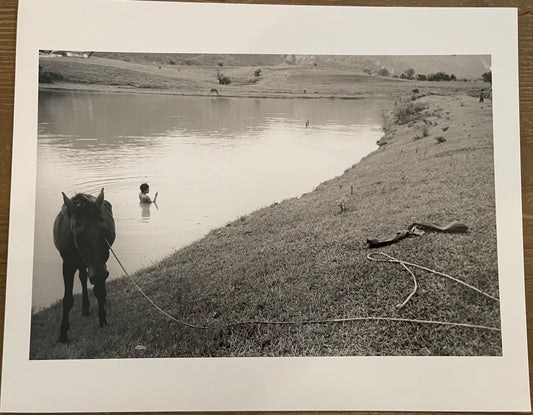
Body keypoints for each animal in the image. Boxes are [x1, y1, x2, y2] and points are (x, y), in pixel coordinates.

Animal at [53, 189, 115, 344]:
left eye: (104, 231)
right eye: (77, 235)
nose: (99, 274)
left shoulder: (101, 262)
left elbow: (99, 290)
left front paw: (103, 320)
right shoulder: (68, 265)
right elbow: (67, 299)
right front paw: (63, 333)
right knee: (83, 277)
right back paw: (85, 308)